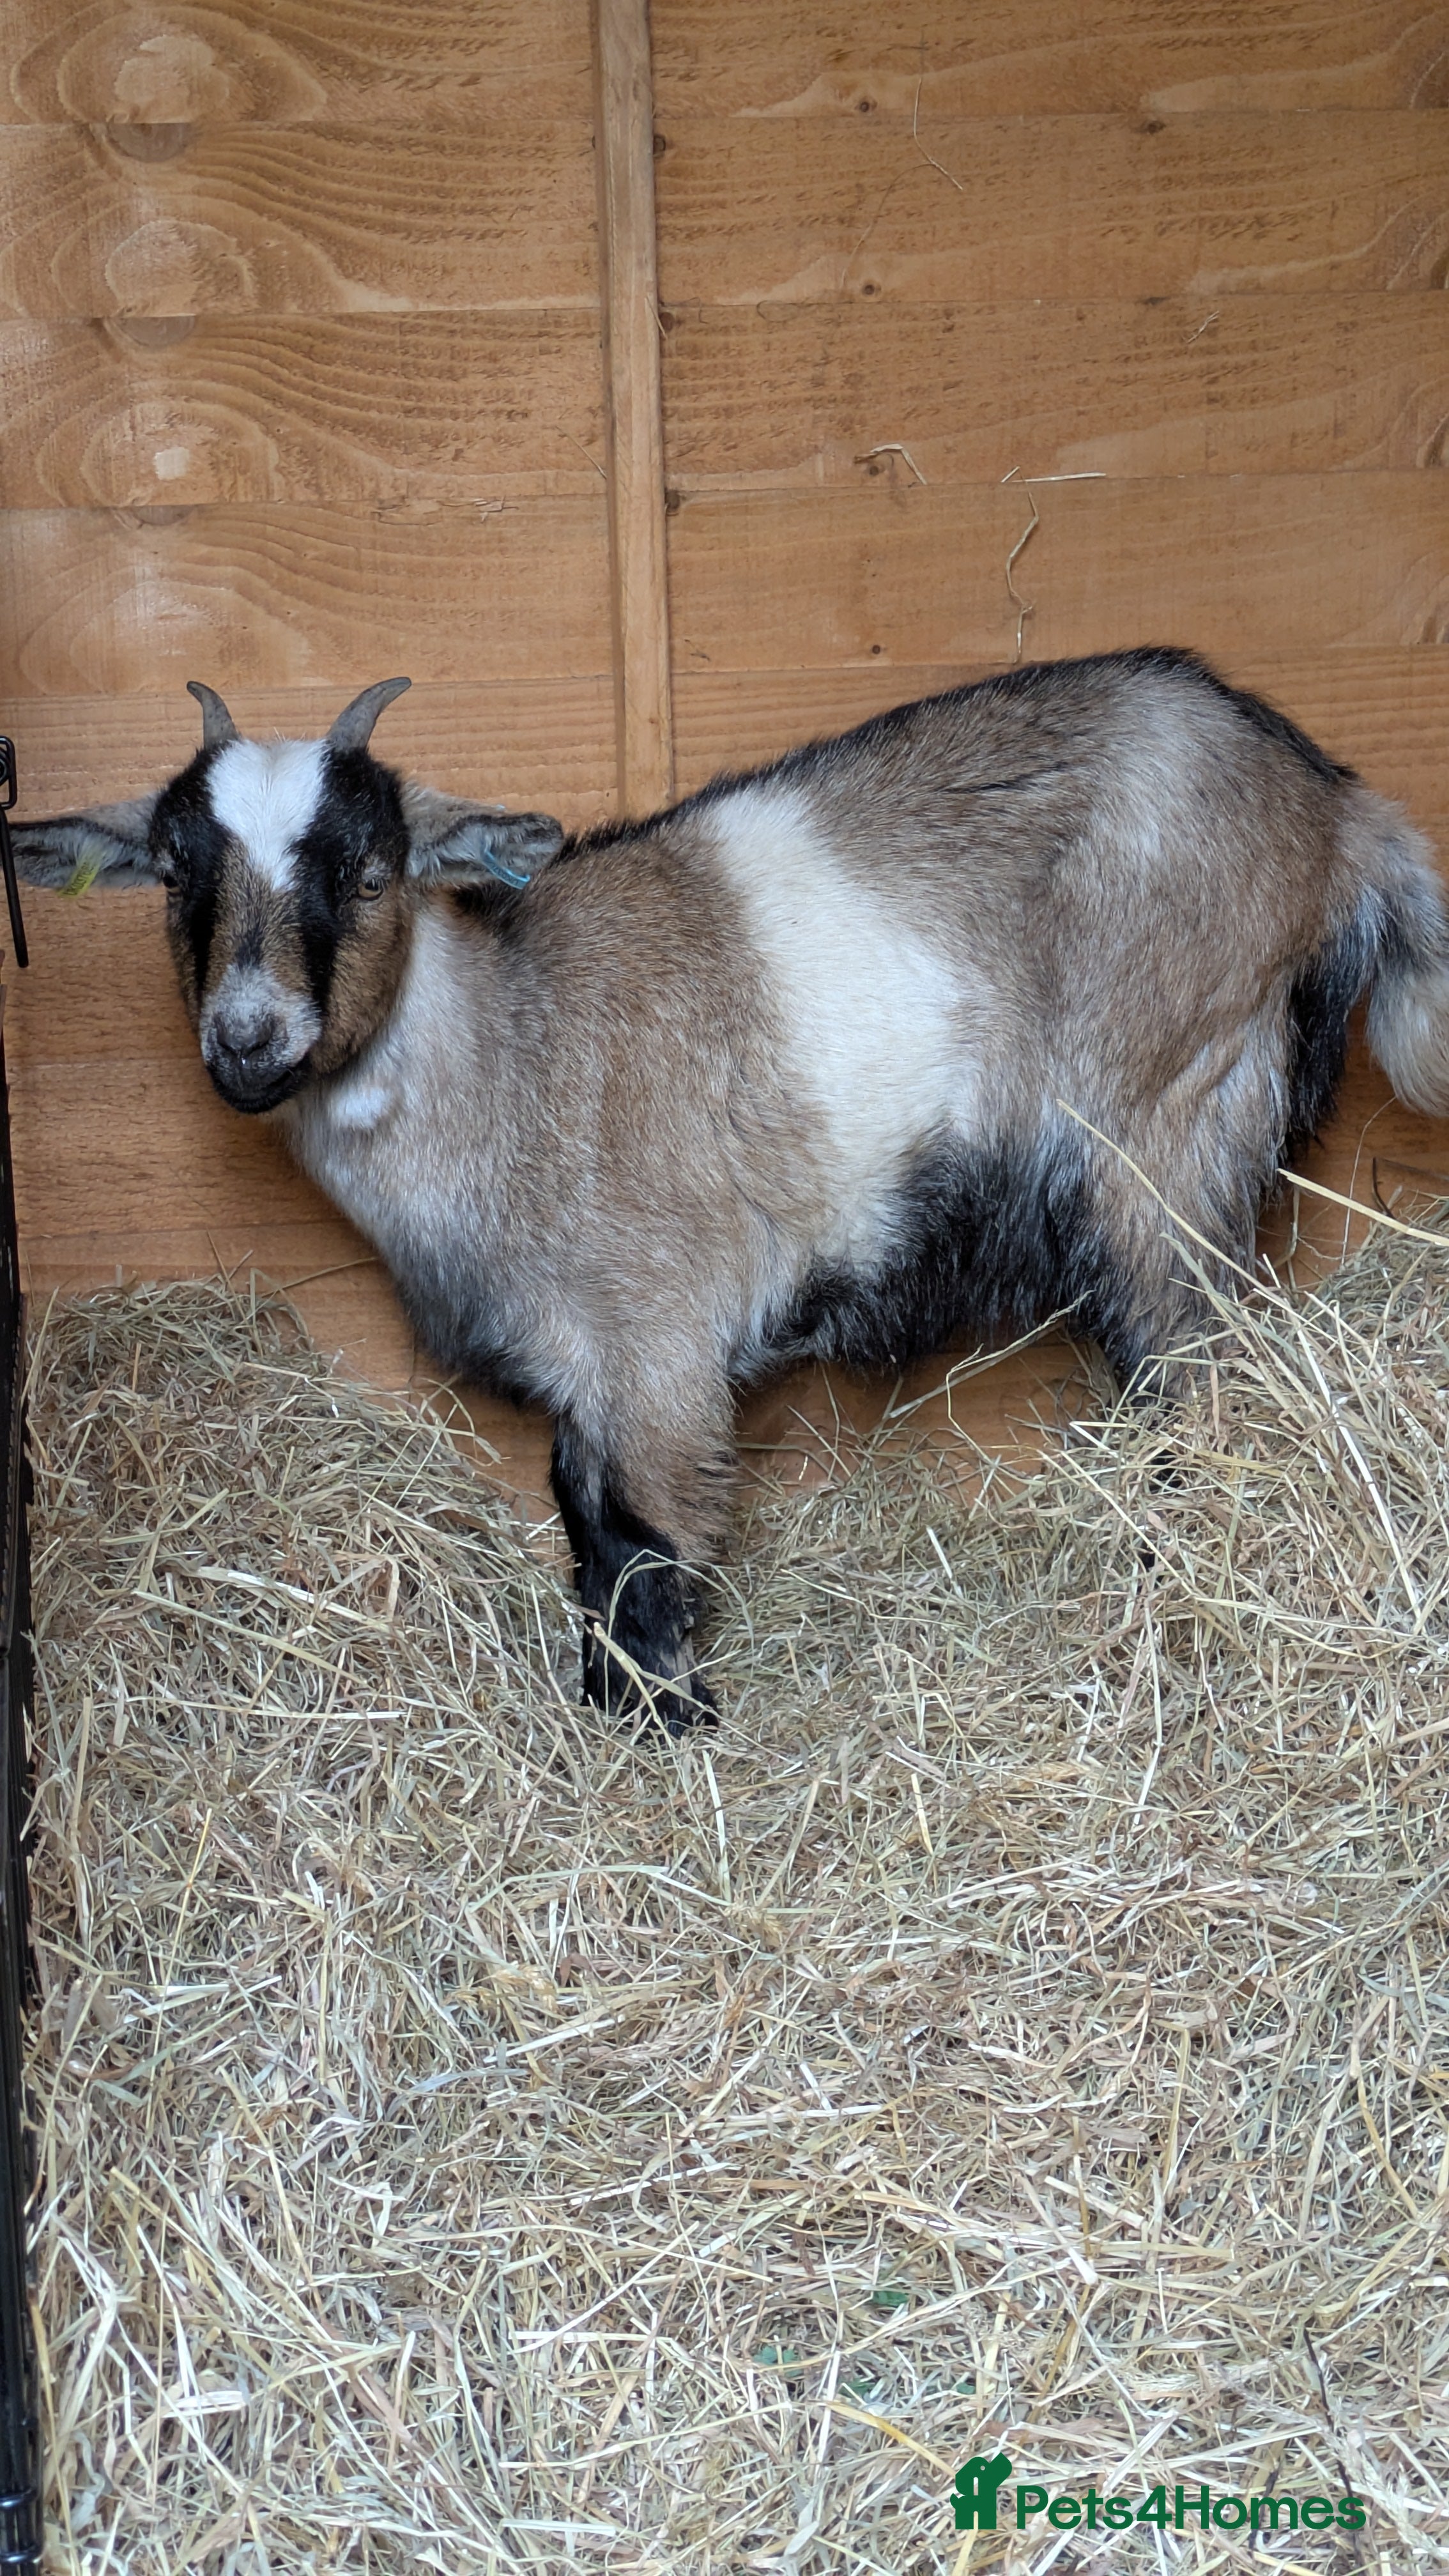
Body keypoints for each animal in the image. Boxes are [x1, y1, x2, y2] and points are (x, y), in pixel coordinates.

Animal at [14, 651, 1449, 1730]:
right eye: (176, 877)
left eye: (368, 869)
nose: (247, 1038)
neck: (509, 1057)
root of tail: (1339, 812)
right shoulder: (583, 1356)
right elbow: (581, 1518)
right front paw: (615, 1704)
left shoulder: (656, 1340)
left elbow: (646, 1535)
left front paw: (668, 1722)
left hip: (1174, 1117)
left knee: (1193, 1377)